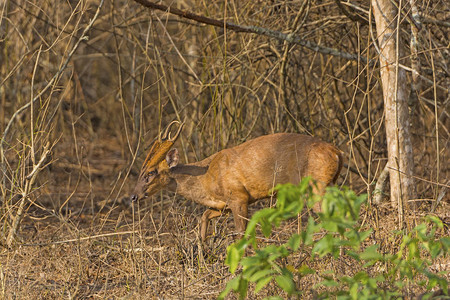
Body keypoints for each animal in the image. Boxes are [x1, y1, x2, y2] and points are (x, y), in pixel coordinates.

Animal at [130, 120, 342, 240]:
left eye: (151, 172)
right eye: (140, 171)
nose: (133, 196)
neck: (206, 179)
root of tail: (337, 152)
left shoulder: (238, 196)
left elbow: (242, 233)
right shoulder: (223, 204)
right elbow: (204, 216)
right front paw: (202, 250)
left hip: (317, 185)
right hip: (329, 183)